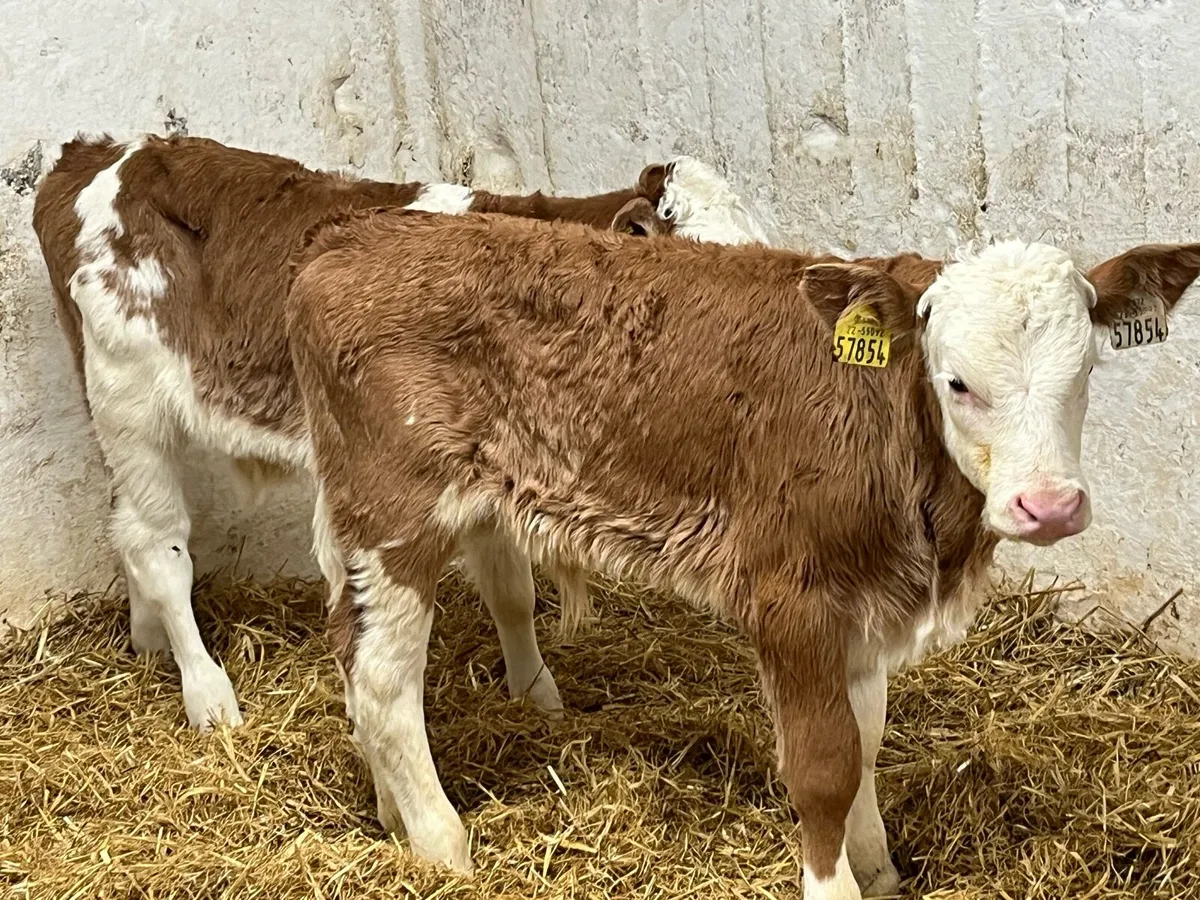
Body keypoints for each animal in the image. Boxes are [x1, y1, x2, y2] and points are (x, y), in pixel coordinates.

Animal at [30, 133, 769, 731]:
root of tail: (97, 152)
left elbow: (512, 591)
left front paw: (536, 694)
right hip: (128, 401)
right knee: (156, 544)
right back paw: (209, 697)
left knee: (126, 530)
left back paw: (147, 641)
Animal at [285, 207, 1199, 898]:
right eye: (958, 383)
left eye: (1086, 373)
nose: (1050, 506)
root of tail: (350, 237)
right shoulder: (793, 596)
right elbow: (825, 766)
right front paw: (834, 887)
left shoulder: (864, 599)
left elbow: (867, 740)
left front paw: (880, 869)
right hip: (393, 511)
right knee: (382, 677)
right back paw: (443, 844)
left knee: (349, 650)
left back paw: (390, 817)